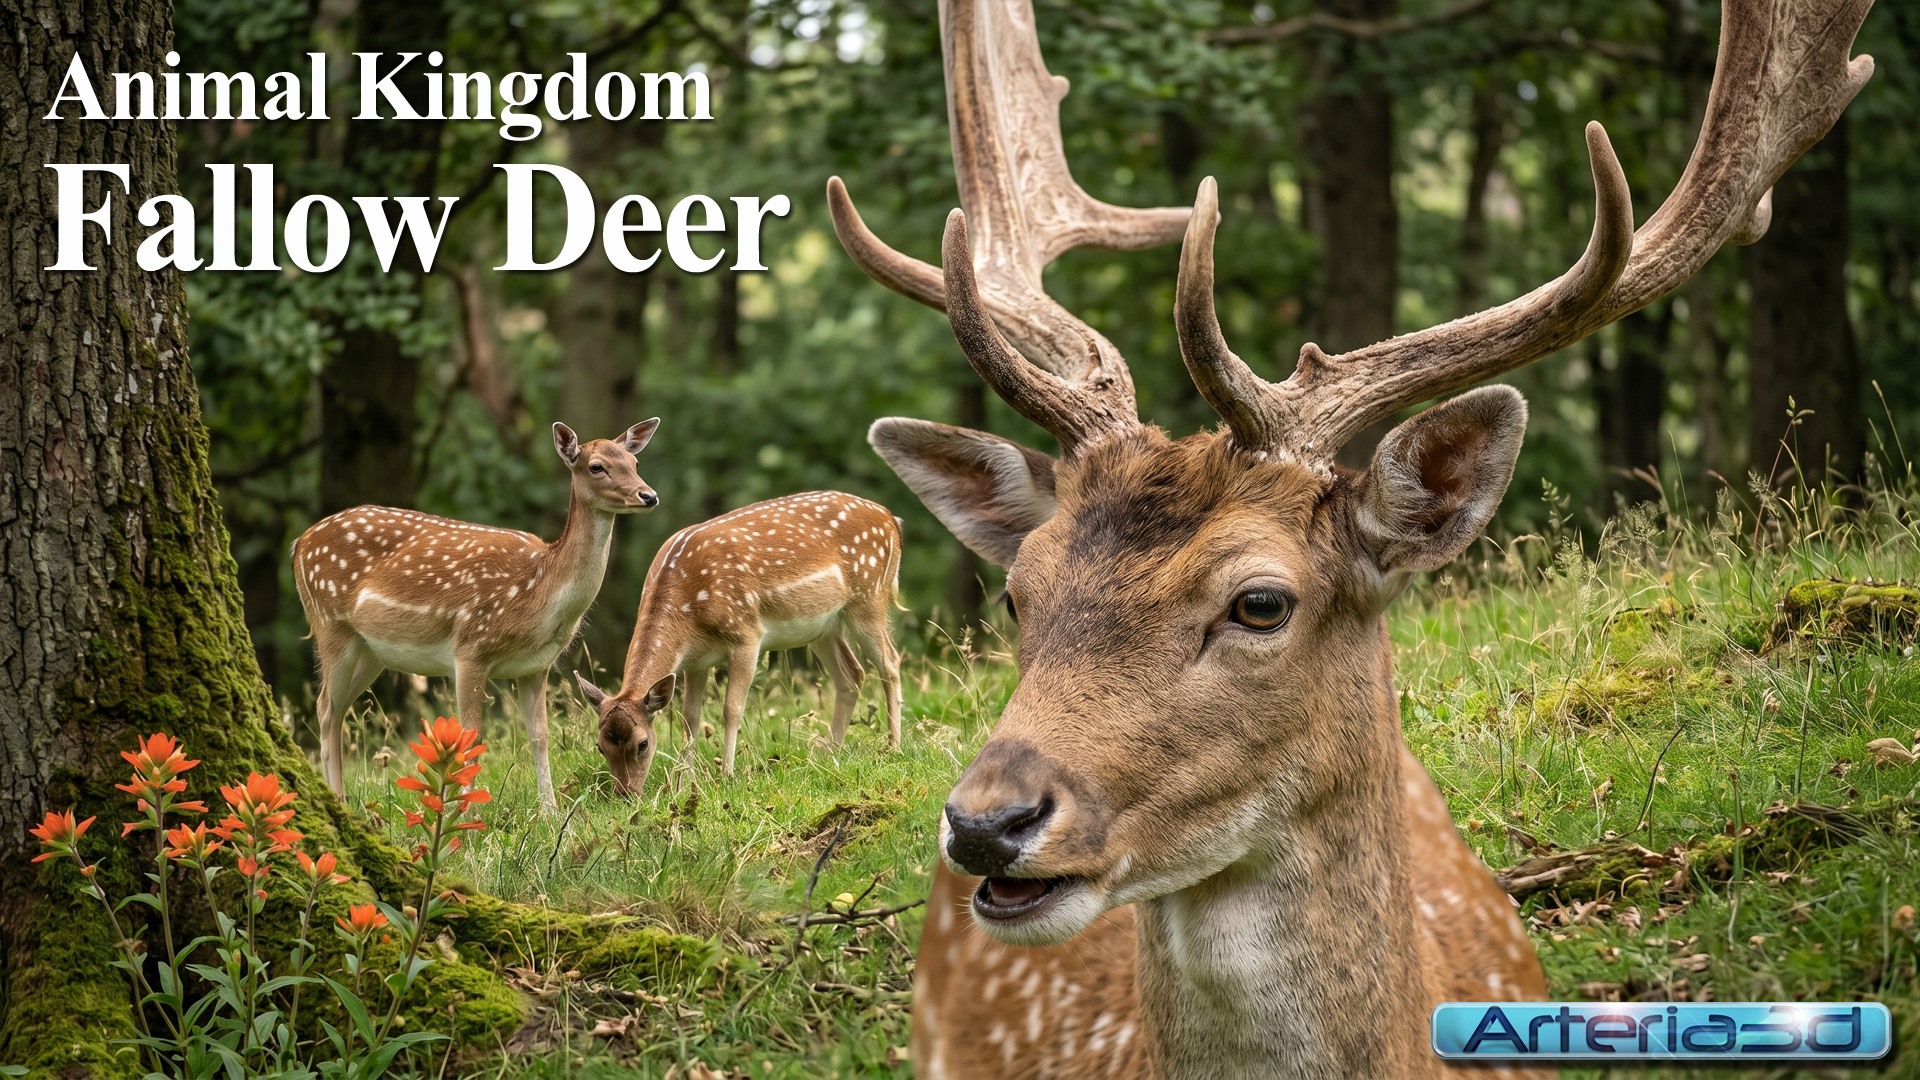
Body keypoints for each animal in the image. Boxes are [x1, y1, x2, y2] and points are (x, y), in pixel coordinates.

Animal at [293, 420, 661, 813]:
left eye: (634, 462)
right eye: (596, 466)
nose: (649, 495)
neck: (539, 593)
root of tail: (298, 544)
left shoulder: (537, 665)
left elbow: (540, 735)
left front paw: (550, 812)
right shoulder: (470, 647)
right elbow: (471, 736)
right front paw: (466, 815)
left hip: (371, 651)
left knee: (339, 709)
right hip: (330, 624)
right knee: (325, 707)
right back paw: (336, 799)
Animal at [575, 490, 904, 797]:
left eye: (642, 744)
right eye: (600, 746)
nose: (625, 793)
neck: (688, 612)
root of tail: (891, 519)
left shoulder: (747, 634)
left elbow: (731, 708)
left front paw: (727, 776)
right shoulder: (696, 661)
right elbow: (689, 718)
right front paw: (684, 785)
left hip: (869, 597)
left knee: (890, 662)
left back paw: (893, 746)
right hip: (822, 625)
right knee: (852, 674)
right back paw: (829, 751)